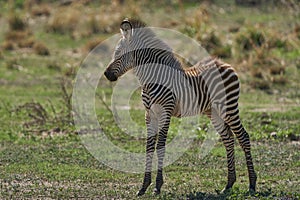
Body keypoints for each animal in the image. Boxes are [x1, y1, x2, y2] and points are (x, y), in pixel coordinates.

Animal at [104, 18, 256, 195]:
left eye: (119, 55)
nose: (106, 75)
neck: (151, 81)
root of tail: (226, 64)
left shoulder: (165, 111)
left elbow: (160, 146)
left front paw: (157, 186)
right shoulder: (149, 114)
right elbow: (149, 147)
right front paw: (144, 186)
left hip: (228, 107)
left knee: (243, 137)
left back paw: (252, 184)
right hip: (213, 111)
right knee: (228, 139)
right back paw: (229, 184)